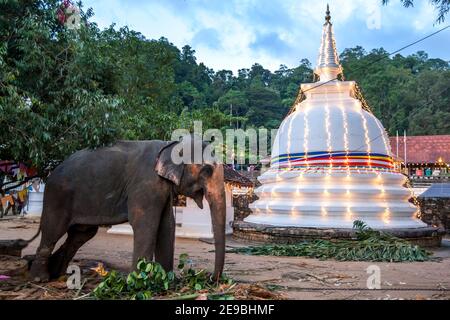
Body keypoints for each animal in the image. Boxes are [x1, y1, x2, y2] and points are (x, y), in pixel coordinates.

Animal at [29, 136, 225, 282]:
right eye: (207, 170)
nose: (210, 278)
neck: (169, 145)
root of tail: (54, 170)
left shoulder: (162, 188)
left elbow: (167, 226)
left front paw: (166, 281)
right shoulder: (145, 184)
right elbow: (145, 225)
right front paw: (139, 282)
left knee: (80, 234)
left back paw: (59, 273)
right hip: (57, 195)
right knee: (54, 229)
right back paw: (41, 278)